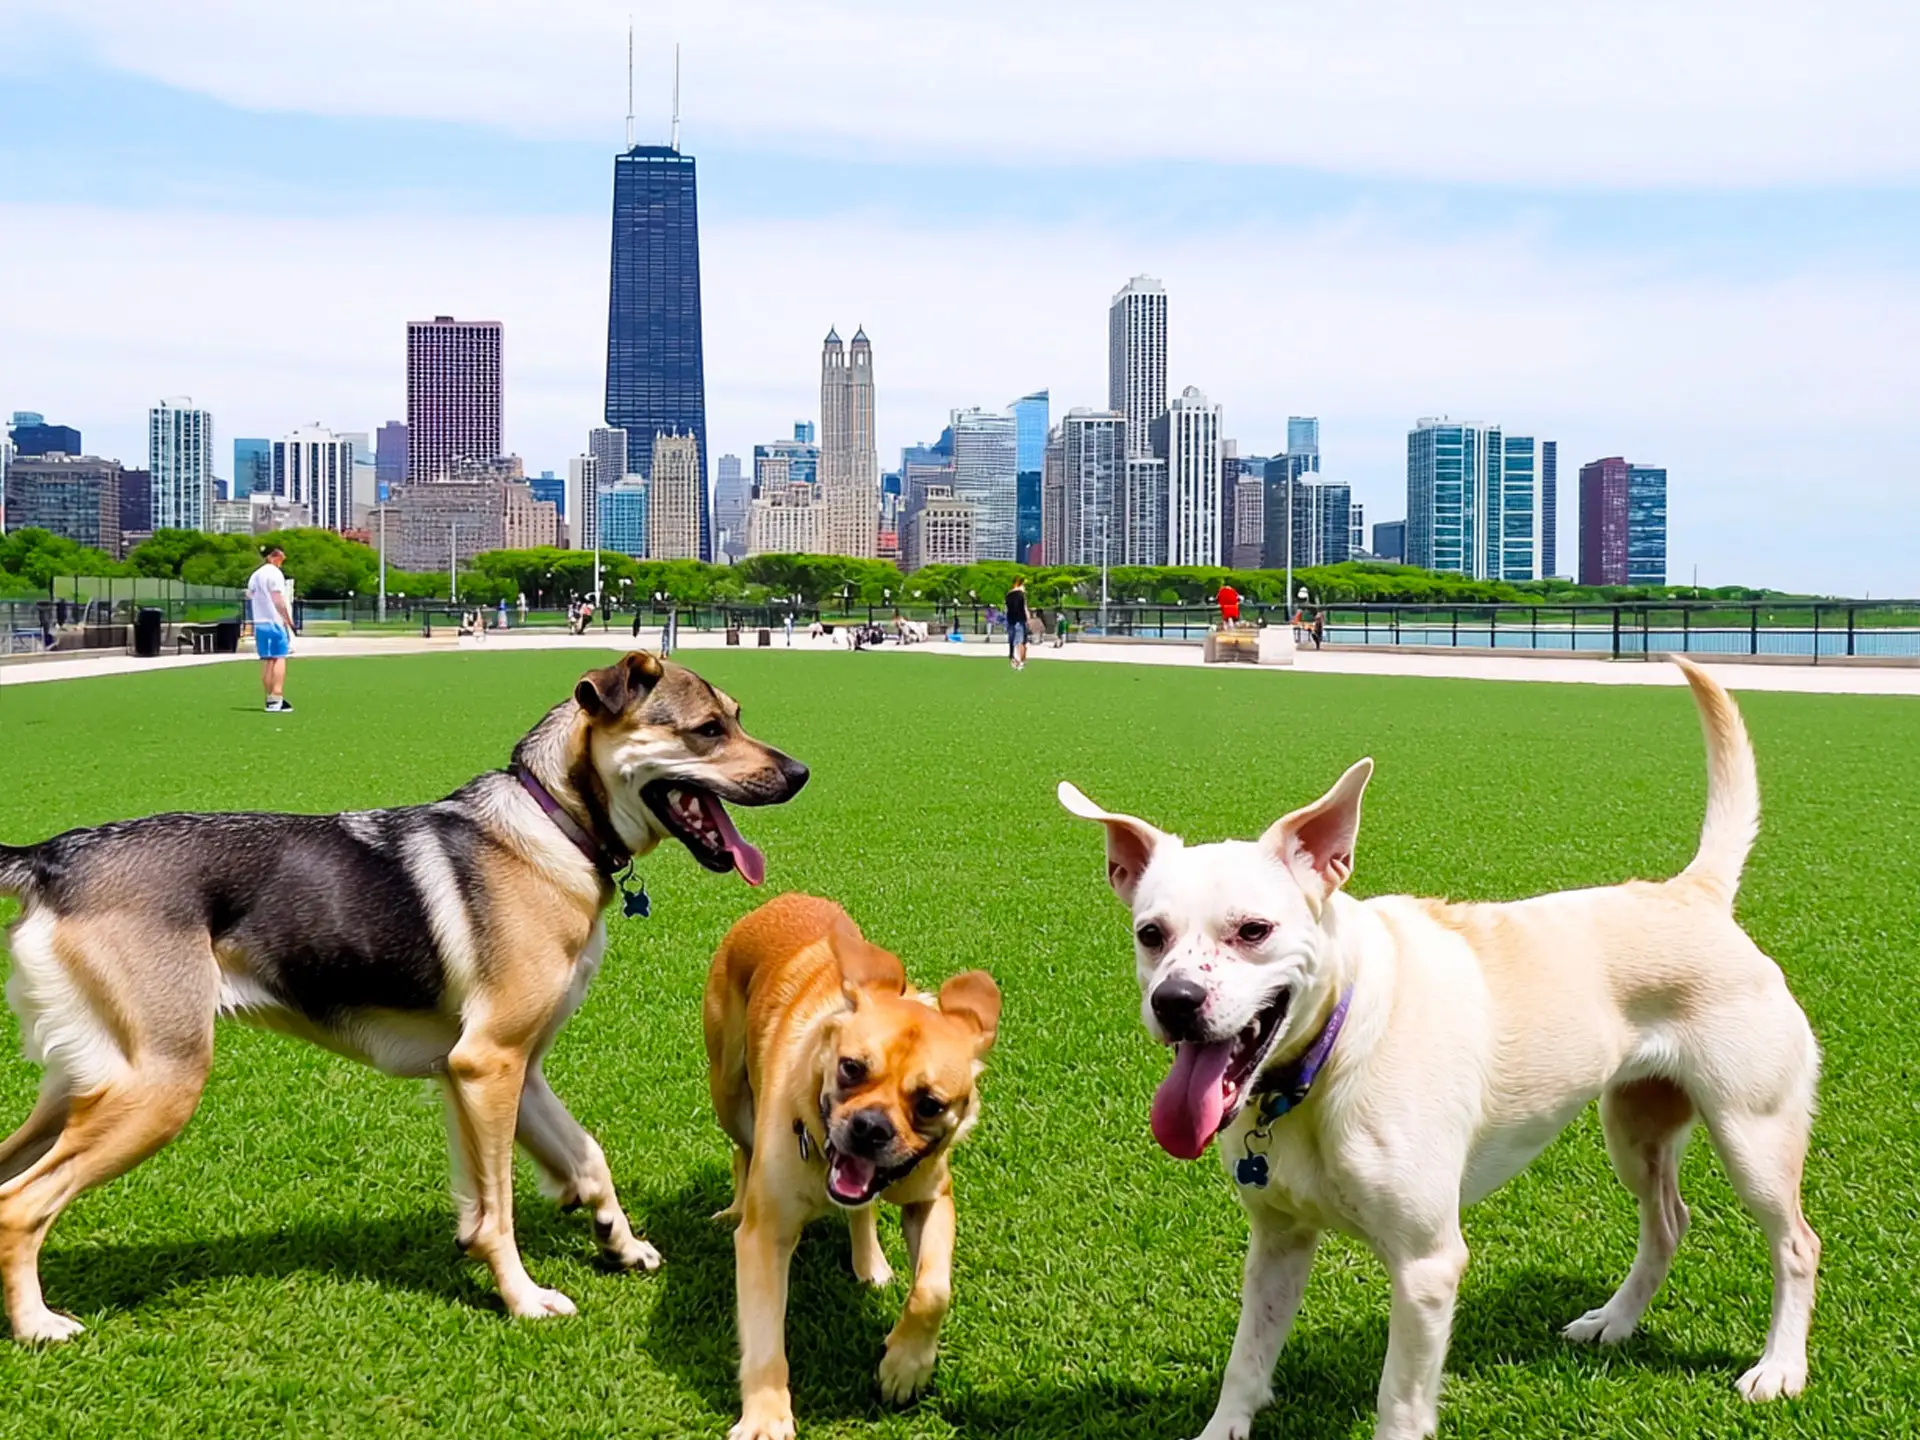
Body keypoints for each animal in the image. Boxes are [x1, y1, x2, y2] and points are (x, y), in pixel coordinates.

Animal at [0, 652, 806, 1344]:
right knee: (21, 1206)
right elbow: (498, 1212)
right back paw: (39, 1325)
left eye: (737, 716)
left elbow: (584, 1157)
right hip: (159, 1086)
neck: (555, 825)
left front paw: (619, 1240)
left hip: (84, 1087)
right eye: (708, 729)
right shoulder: (489, 1064)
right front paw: (523, 1298)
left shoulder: (508, 1068)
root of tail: (49, 859)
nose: (800, 772)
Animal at [706, 898, 1006, 1436]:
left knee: (861, 1211)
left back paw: (870, 1264)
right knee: (741, 1149)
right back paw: (734, 1207)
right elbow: (764, 1339)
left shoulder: (932, 1198)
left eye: (929, 1104)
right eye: (851, 1068)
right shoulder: (765, 1234)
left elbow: (933, 1289)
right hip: (728, 1089)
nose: (870, 1127)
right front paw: (765, 1416)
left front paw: (905, 1365)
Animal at [1059, 664, 1820, 1440]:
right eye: (1150, 934)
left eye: (1253, 930)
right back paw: (1614, 1321)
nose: (1175, 1001)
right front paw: (1225, 1427)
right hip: (1635, 1126)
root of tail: (1695, 893)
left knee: (1796, 1243)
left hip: (1752, 1131)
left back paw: (1779, 1369)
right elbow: (1247, 1359)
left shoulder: (1427, 1264)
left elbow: (1398, 1401)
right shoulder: (1277, 1238)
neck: (1331, 1055)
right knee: (1669, 1222)